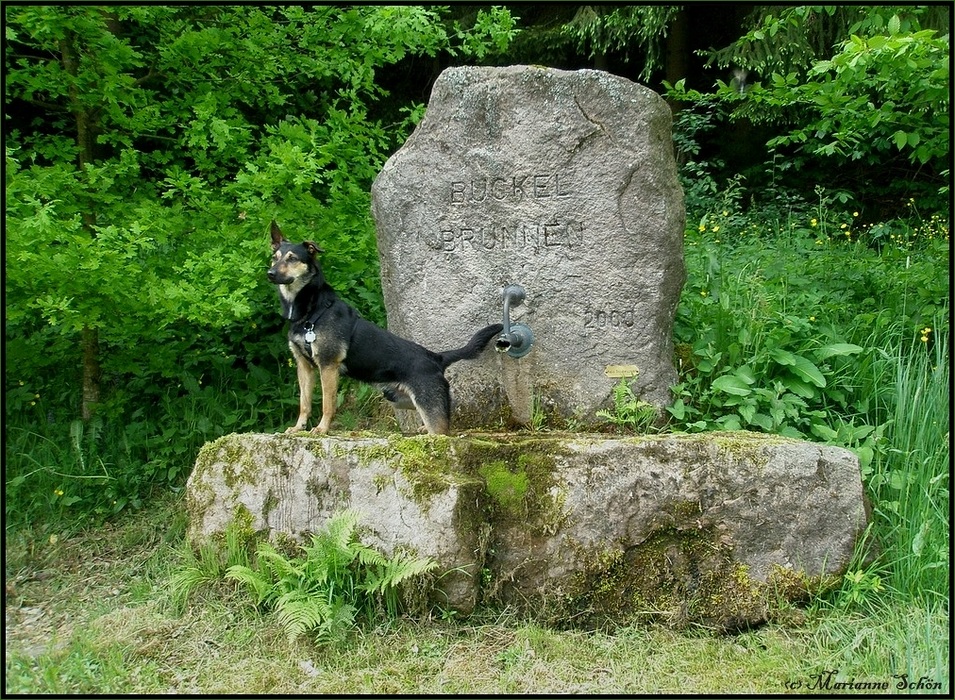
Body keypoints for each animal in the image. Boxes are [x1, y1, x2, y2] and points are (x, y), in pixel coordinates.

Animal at [268, 221, 504, 434]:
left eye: (292, 258)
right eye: (275, 257)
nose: (270, 273)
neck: (312, 310)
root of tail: (437, 358)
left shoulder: (328, 365)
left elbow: (328, 403)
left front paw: (322, 429)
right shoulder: (304, 366)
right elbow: (304, 403)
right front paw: (298, 428)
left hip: (428, 407)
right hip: (398, 397)